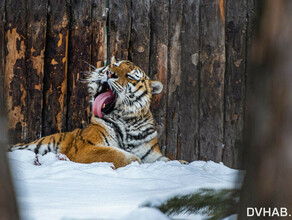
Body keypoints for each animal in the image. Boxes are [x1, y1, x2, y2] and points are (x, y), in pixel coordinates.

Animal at [9, 57, 188, 168]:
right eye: (115, 65)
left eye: (130, 76)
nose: (109, 73)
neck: (128, 121)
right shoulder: (87, 147)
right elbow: (118, 155)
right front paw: (135, 163)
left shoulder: (152, 154)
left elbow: (170, 160)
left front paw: (183, 164)